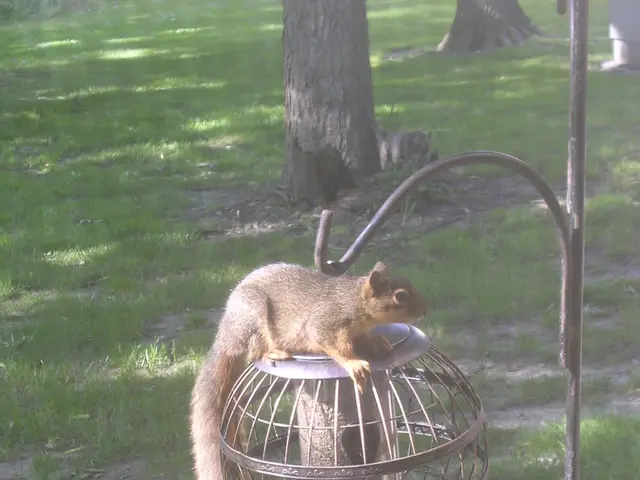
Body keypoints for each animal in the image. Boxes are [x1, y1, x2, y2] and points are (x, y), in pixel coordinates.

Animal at [189, 261, 429, 480]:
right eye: (401, 296)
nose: (425, 309)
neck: (353, 301)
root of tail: (226, 337)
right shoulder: (326, 322)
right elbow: (333, 345)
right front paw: (354, 364)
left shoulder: (357, 332)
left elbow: (364, 340)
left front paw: (378, 342)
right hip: (253, 316)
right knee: (256, 350)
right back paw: (273, 353)